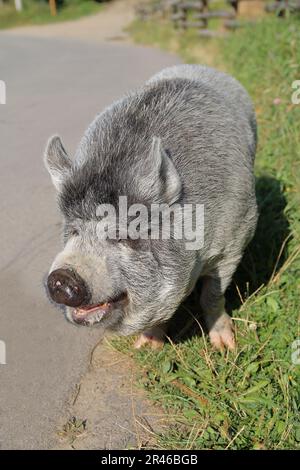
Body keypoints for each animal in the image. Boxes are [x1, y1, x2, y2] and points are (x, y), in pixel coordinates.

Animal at [44, 67, 258, 352]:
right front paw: (145, 346)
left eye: (122, 236)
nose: (62, 276)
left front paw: (226, 348)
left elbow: (213, 295)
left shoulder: (235, 240)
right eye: (75, 231)